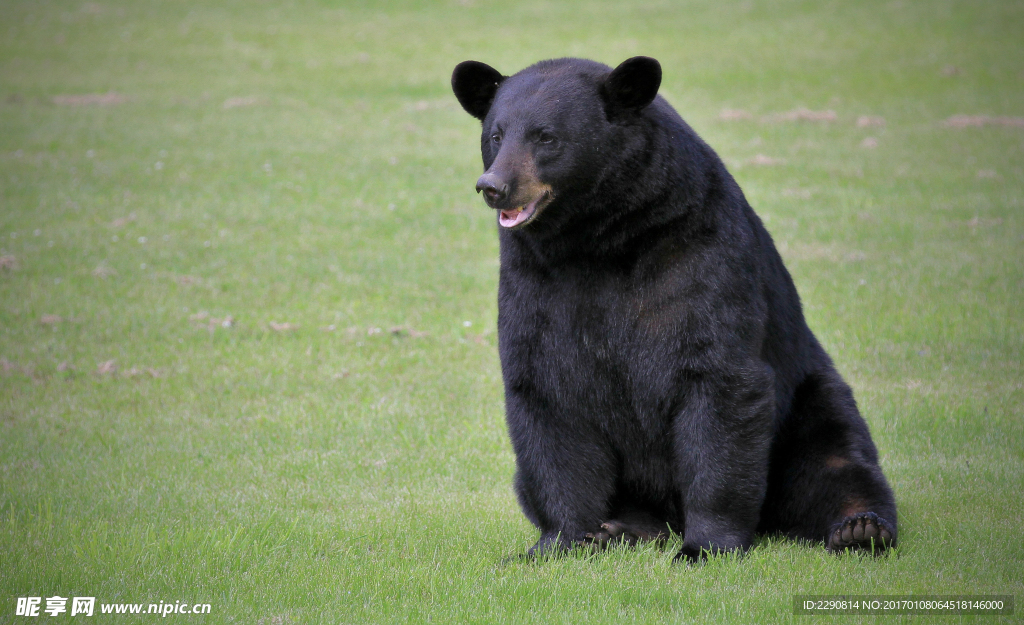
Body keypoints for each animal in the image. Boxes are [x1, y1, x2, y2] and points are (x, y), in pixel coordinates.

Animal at [451, 56, 897, 562]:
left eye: (547, 136)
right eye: (495, 135)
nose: (493, 186)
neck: (598, 240)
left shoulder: (700, 252)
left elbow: (719, 383)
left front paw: (705, 547)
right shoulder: (535, 281)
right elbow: (545, 394)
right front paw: (557, 542)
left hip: (811, 398)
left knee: (836, 458)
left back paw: (859, 527)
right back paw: (624, 529)